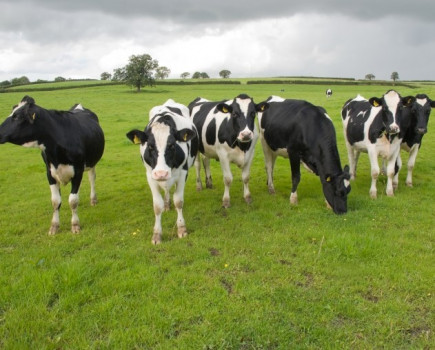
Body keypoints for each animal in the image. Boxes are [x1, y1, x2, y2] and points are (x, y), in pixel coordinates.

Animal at [0, 95, 104, 235]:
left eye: (17, 117)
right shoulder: (50, 173)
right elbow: (56, 201)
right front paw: (54, 226)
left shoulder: (77, 171)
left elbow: (73, 200)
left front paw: (75, 225)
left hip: (91, 162)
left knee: (92, 178)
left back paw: (93, 199)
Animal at [127, 100, 198, 245]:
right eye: (150, 146)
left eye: (172, 145)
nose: (161, 174)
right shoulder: (150, 176)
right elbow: (157, 206)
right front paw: (157, 235)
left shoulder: (183, 173)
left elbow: (178, 201)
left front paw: (181, 229)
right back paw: (166, 204)